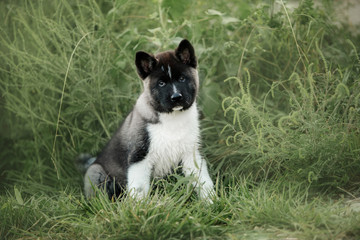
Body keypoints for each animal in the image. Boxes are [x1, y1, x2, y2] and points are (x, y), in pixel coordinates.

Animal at [79, 40, 214, 202]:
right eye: (161, 83)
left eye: (182, 79)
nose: (176, 97)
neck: (171, 119)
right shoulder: (139, 157)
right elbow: (139, 189)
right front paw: (140, 207)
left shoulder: (190, 154)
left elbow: (203, 181)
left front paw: (211, 202)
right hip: (95, 171)